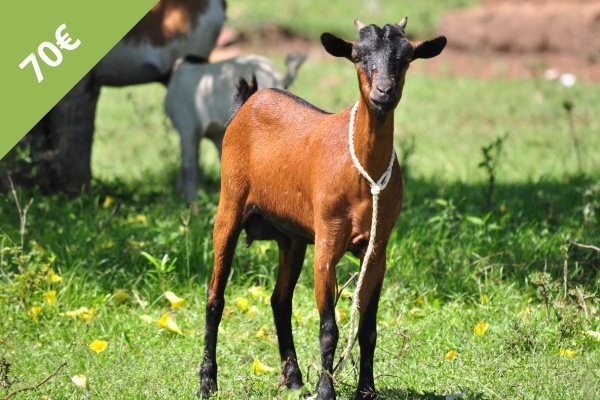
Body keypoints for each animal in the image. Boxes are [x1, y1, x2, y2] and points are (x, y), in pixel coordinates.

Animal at [198, 18, 446, 400]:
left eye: (406, 57)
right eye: (357, 56)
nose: (384, 93)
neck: (363, 177)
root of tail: (251, 98)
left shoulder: (377, 249)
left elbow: (368, 328)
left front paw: (366, 390)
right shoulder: (327, 243)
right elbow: (329, 327)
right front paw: (326, 390)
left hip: (291, 237)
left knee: (279, 300)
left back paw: (293, 377)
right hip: (230, 203)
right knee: (215, 296)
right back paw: (207, 381)